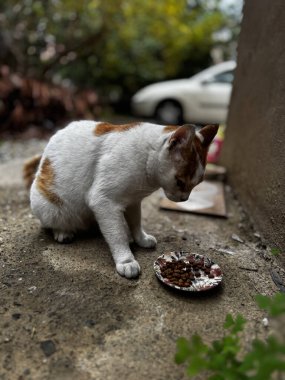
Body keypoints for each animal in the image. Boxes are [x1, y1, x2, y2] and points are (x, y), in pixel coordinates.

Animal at [23, 121, 217, 280]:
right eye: (180, 181)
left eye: (197, 183)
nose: (184, 199)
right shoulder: (103, 201)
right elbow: (118, 235)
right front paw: (126, 260)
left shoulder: (133, 202)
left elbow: (136, 223)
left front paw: (141, 239)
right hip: (47, 205)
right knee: (54, 222)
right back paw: (63, 232)